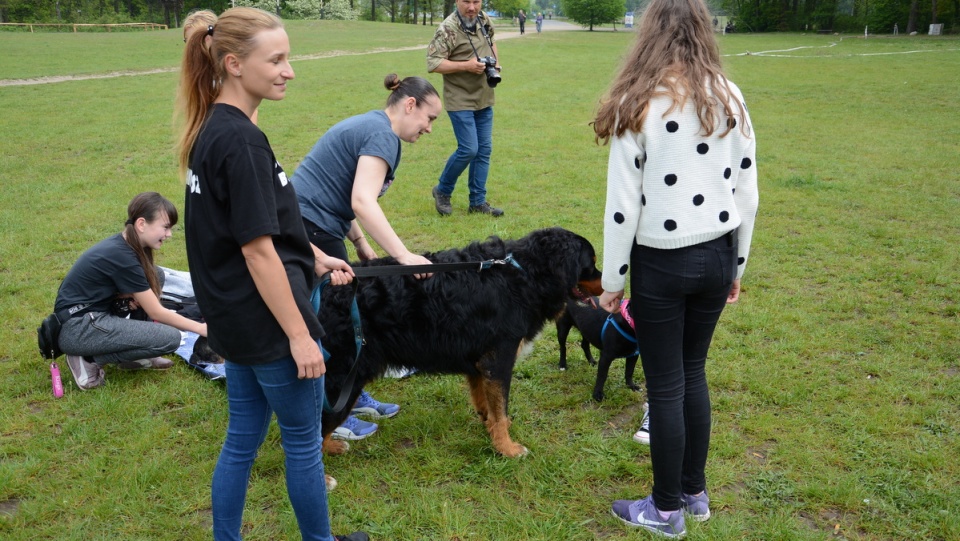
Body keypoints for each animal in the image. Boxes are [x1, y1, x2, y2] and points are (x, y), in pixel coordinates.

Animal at [316, 226, 600, 458]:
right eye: (592, 263)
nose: (605, 285)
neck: (525, 273)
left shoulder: (479, 361)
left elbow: (489, 405)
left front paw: (491, 428)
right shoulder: (499, 361)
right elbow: (501, 409)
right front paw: (506, 448)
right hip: (344, 377)